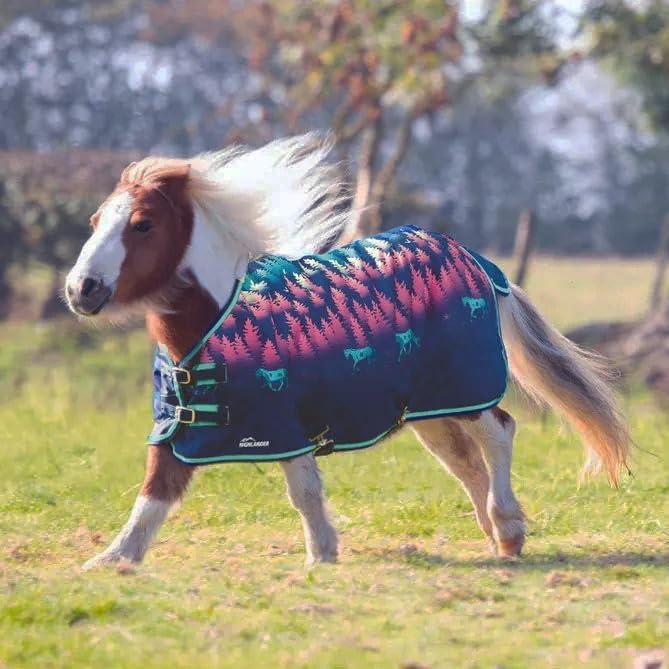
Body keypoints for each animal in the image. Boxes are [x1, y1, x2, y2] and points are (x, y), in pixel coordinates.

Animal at [65, 133, 630, 569]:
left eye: (142, 224)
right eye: (95, 221)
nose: (80, 289)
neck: (216, 320)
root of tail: (477, 262)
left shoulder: (280, 422)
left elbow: (302, 490)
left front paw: (321, 556)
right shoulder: (183, 426)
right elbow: (154, 493)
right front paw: (111, 560)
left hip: (464, 387)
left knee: (499, 434)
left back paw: (508, 529)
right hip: (430, 408)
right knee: (466, 461)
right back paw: (493, 535)